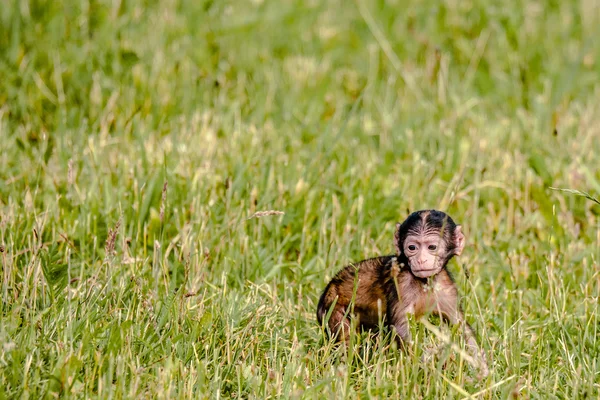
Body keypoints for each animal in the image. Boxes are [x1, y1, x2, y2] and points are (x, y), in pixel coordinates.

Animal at [316, 211, 490, 376]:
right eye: (412, 248)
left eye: (432, 247)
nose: (420, 260)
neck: (424, 282)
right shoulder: (402, 284)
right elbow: (401, 328)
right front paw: (430, 370)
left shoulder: (447, 288)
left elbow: (461, 327)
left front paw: (483, 371)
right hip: (333, 309)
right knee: (345, 339)